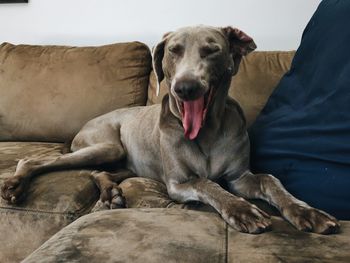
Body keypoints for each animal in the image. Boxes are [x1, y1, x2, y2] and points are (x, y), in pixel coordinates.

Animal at [0, 25, 340, 235]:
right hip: (106, 145)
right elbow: (207, 184)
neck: (207, 131)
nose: (184, 88)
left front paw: (305, 211)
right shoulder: (177, 183)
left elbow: (270, 180)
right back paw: (15, 185)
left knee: (98, 172)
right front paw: (242, 210)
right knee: (35, 160)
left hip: (124, 161)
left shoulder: (239, 177)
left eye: (212, 50)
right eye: (173, 50)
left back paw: (111, 194)